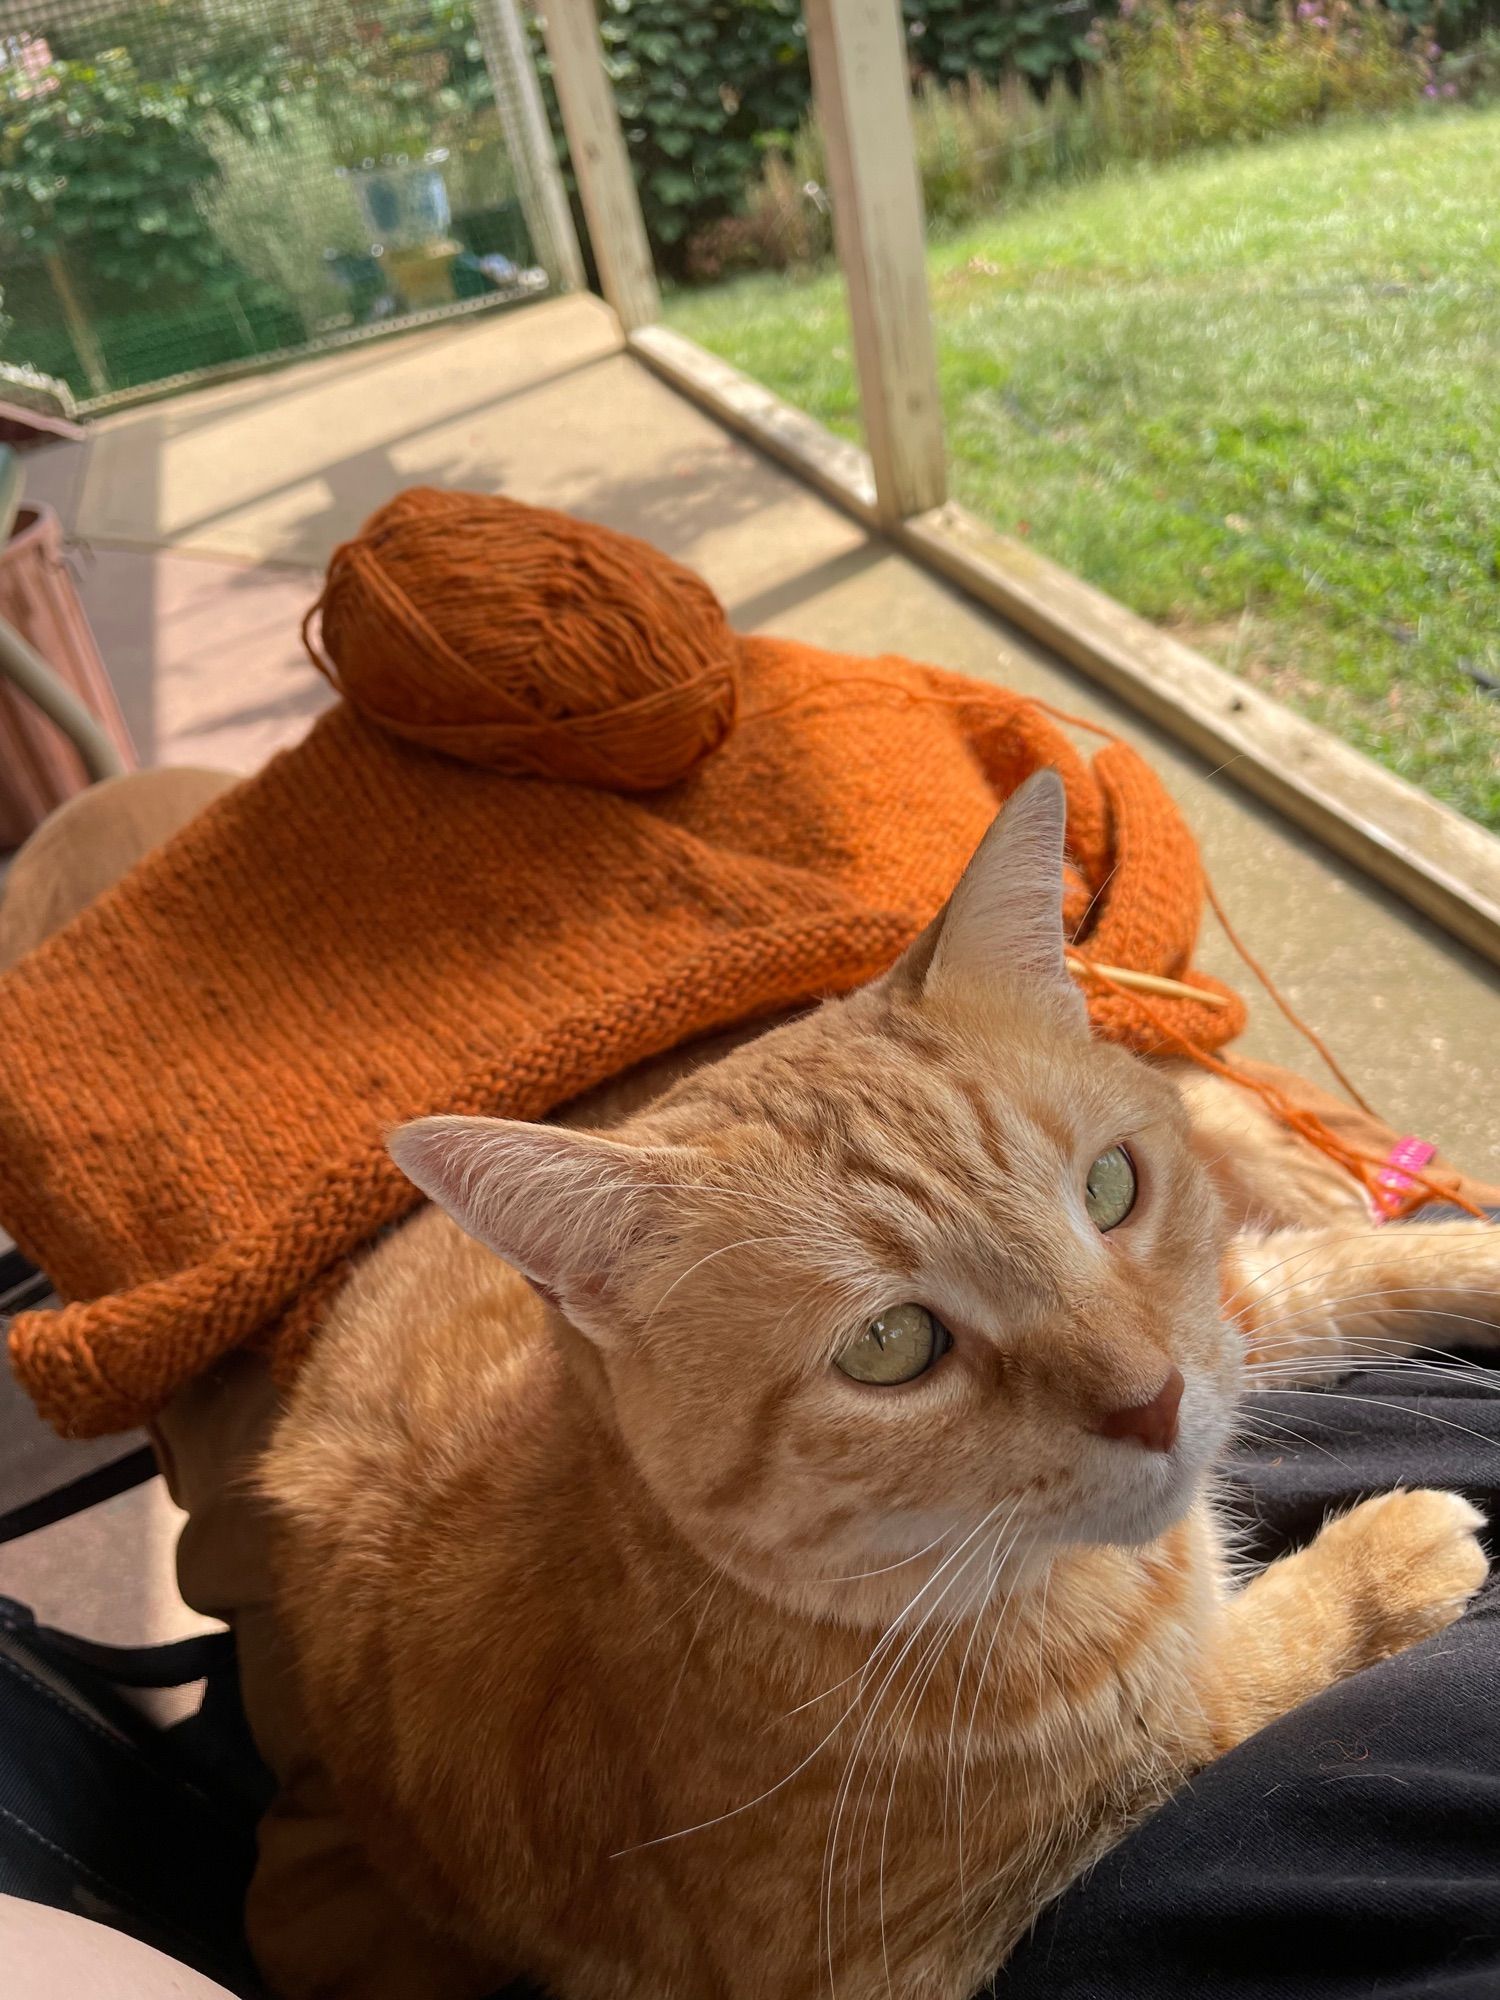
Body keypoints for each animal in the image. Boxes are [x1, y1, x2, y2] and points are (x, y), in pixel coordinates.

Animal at [264, 776, 1496, 2000]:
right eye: (891, 1344)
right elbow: (1223, 1692)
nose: (1153, 1401)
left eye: (1111, 1186)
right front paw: (1385, 1561)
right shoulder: (894, 1948)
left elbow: (1339, 1271)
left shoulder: (1224, 1318)